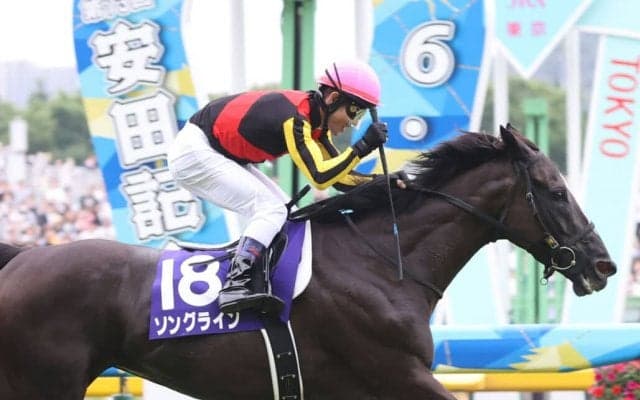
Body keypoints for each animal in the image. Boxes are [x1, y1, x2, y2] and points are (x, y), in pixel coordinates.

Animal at [0, 125, 616, 399]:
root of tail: (23, 257)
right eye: (555, 191)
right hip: (42, 383)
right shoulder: (397, 373)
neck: (380, 264)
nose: (604, 264)